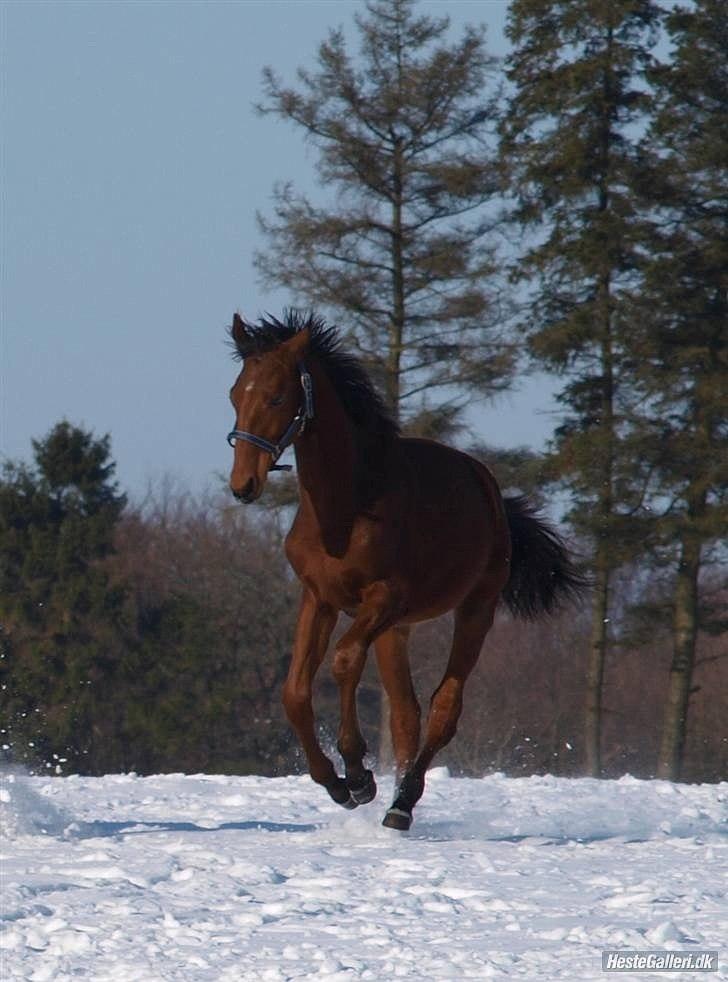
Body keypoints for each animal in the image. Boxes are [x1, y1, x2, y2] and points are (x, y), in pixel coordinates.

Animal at [228, 310, 584, 832]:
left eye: (276, 396)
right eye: (235, 394)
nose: (243, 485)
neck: (348, 506)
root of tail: (490, 490)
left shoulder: (383, 598)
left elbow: (344, 661)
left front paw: (358, 775)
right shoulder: (320, 598)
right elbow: (294, 693)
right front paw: (336, 785)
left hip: (474, 609)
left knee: (443, 706)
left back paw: (402, 803)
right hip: (397, 630)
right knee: (405, 713)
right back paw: (394, 794)